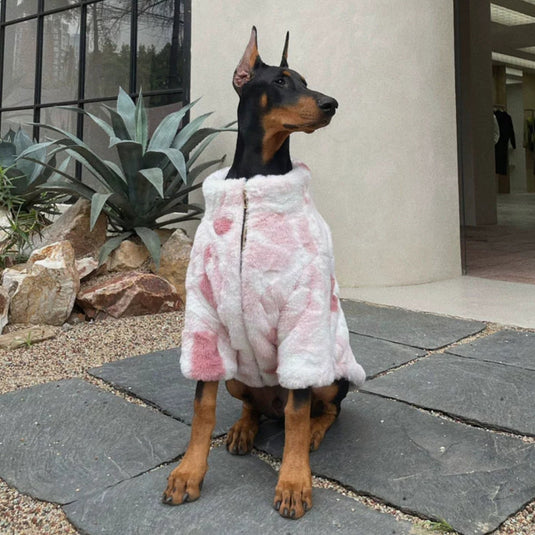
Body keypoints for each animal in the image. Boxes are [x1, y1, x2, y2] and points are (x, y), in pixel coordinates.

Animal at [160, 27, 360, 520]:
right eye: (282, 81)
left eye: (306, 80)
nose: (331, 103)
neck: (254, 183)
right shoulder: (206, 315)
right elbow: (203, 406)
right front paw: (188, 473)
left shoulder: (303, 316)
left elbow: (298, 413)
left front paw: (294, 481)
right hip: (237, 373)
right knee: (253, 406)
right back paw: (244, 429)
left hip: (329, 373)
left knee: (319, 410)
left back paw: (311, 433)